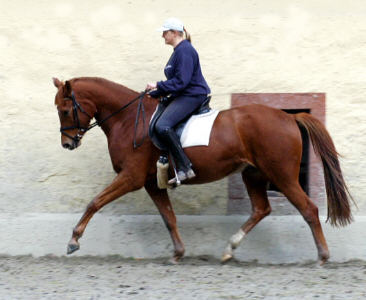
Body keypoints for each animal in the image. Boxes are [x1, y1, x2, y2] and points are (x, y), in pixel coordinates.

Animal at [53, 76, 354, 264]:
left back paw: (322, 257)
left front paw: (73, 241)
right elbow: (169, 218)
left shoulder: (131, 177)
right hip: (253, 174)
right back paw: (229, 249)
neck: (128, 120)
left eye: (65, 110)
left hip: (281, 175)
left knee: (309, 209)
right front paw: (177, 253)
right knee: (261, 209)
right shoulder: (151, 183)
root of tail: (289, 117)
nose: (67, 144)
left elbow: (95, 202)